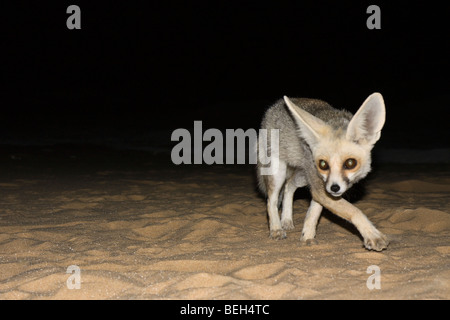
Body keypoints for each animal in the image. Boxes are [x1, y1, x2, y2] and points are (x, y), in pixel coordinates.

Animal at [258, 94, 388, 251]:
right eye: (323, 164)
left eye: (350, 163)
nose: (334, 188)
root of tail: (273, 107)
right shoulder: (320, 187)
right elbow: (353, 210)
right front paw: (373, 235)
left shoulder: (320, 187)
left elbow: (314, 212)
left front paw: (307, 236)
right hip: (279, 172)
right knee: (271, 200)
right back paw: (276, 229)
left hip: (303, 177)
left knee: (289, 186)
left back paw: (286, 219)